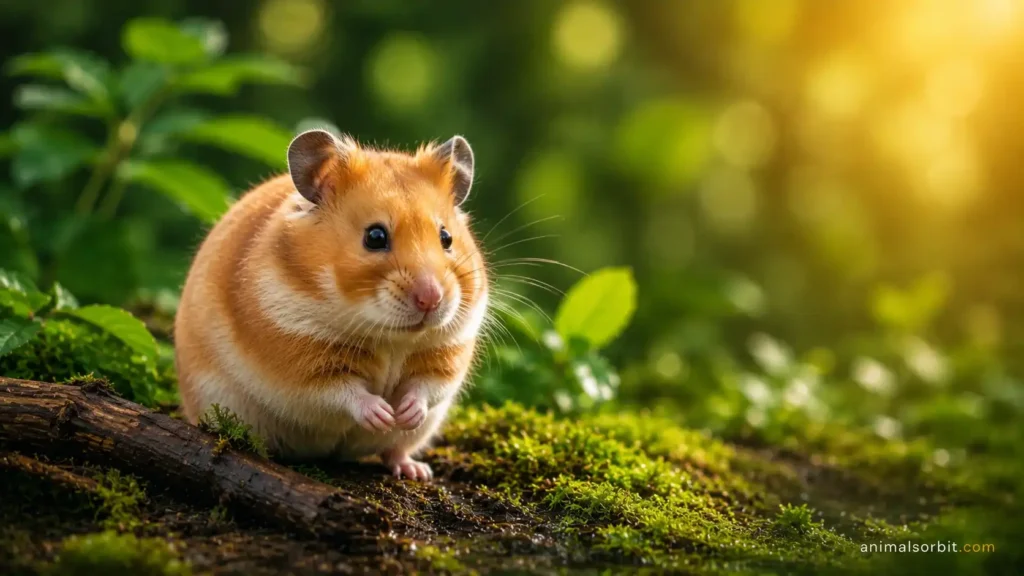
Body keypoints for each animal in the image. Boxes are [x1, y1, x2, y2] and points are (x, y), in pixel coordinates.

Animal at [173, 129, 488, 480]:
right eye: (375, 237)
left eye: (447, 238)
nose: (431, 299)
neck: (390, 338)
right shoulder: (299, 362)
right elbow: (342, 392)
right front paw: (383, 414)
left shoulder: (448, 353)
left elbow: (426, 388)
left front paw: (404, 414)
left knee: (395, 449)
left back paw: (416, 471)